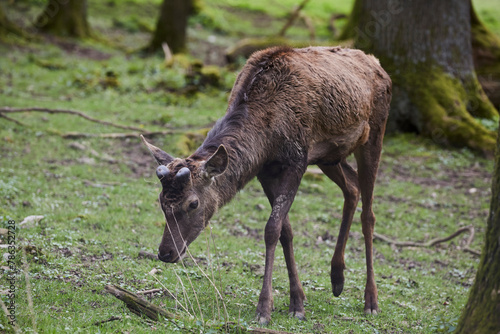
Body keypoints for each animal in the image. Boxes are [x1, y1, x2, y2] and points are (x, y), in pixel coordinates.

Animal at [141, 45, 390, 324]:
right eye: (161, 202)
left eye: (193, 203)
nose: (165, 253)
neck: (266, 134)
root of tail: (377, 64)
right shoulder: (265, 170)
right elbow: (285, 230)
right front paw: (297, 301)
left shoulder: (297, 160)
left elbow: (271, 229)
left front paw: (264, 309)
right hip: (330, 155)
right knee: (352, 187)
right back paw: (337, 278)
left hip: (374, 133)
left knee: (369, 214)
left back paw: (371, 300)